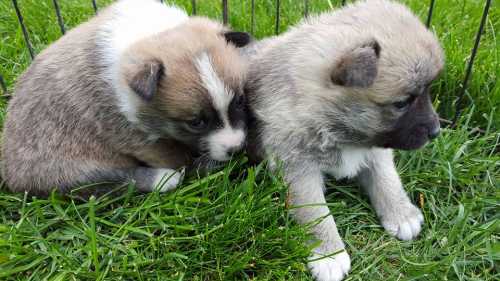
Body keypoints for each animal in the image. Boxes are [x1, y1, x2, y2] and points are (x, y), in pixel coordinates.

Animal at [244, 1, 444, 278]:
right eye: (401, 103)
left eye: (428, 91)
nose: (436, 131)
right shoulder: (298, 169)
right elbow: (316, 213)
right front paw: (328, 254)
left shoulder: (376, 150)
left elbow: (387, 179)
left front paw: (401, 213)